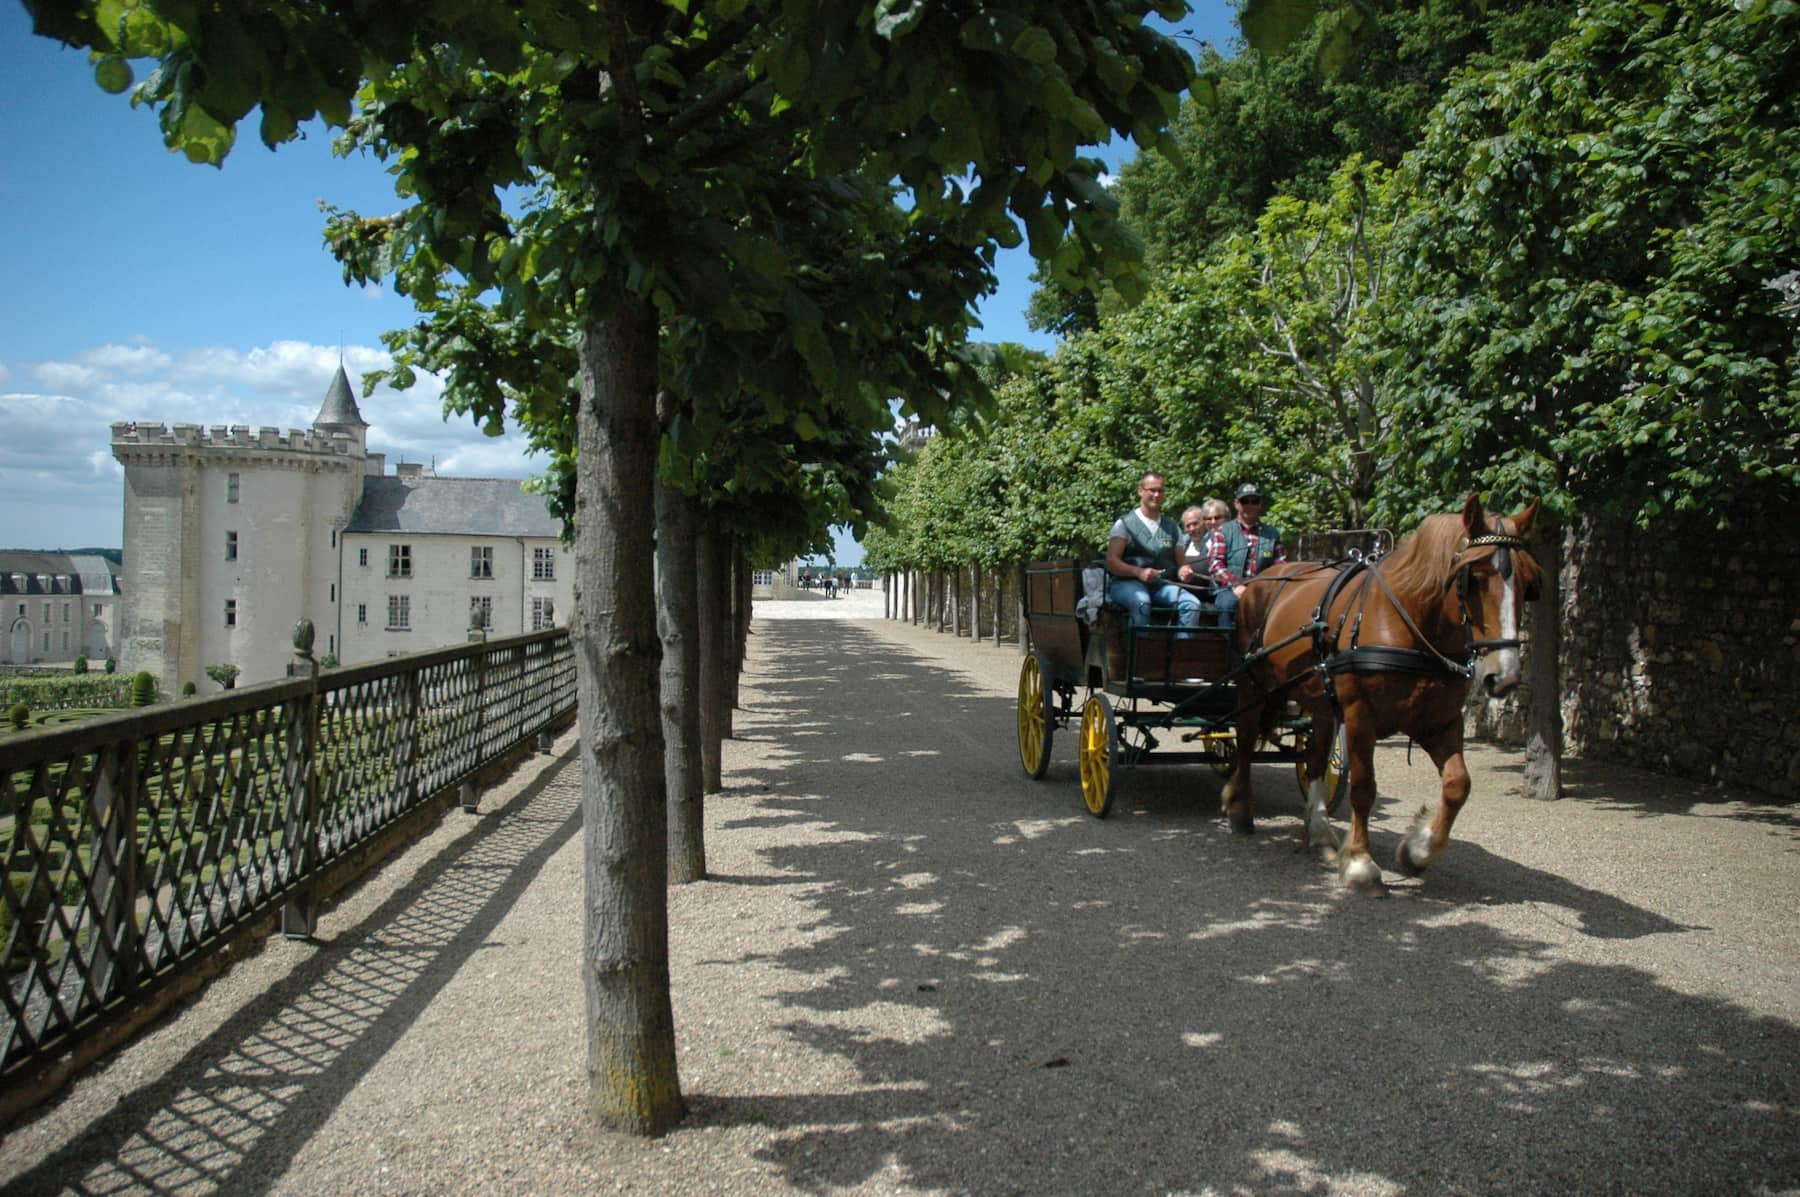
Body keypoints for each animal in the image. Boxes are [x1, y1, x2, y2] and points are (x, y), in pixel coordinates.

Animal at [1224, 489, 1548, 892]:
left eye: (1528, 583)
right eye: (1473, 578)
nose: (1503, 676)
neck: (1408, 624)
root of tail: (1262, 579)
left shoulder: (1439, 721)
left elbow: (1458, 784)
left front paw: (1418, 849)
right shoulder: (1360, 715)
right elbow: (1364, 788)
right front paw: (1361, 863)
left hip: (1321, 702)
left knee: (1314, 759)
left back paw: (1320, 834)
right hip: (1253, 685)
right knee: (1246, 740)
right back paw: (1240, 809)